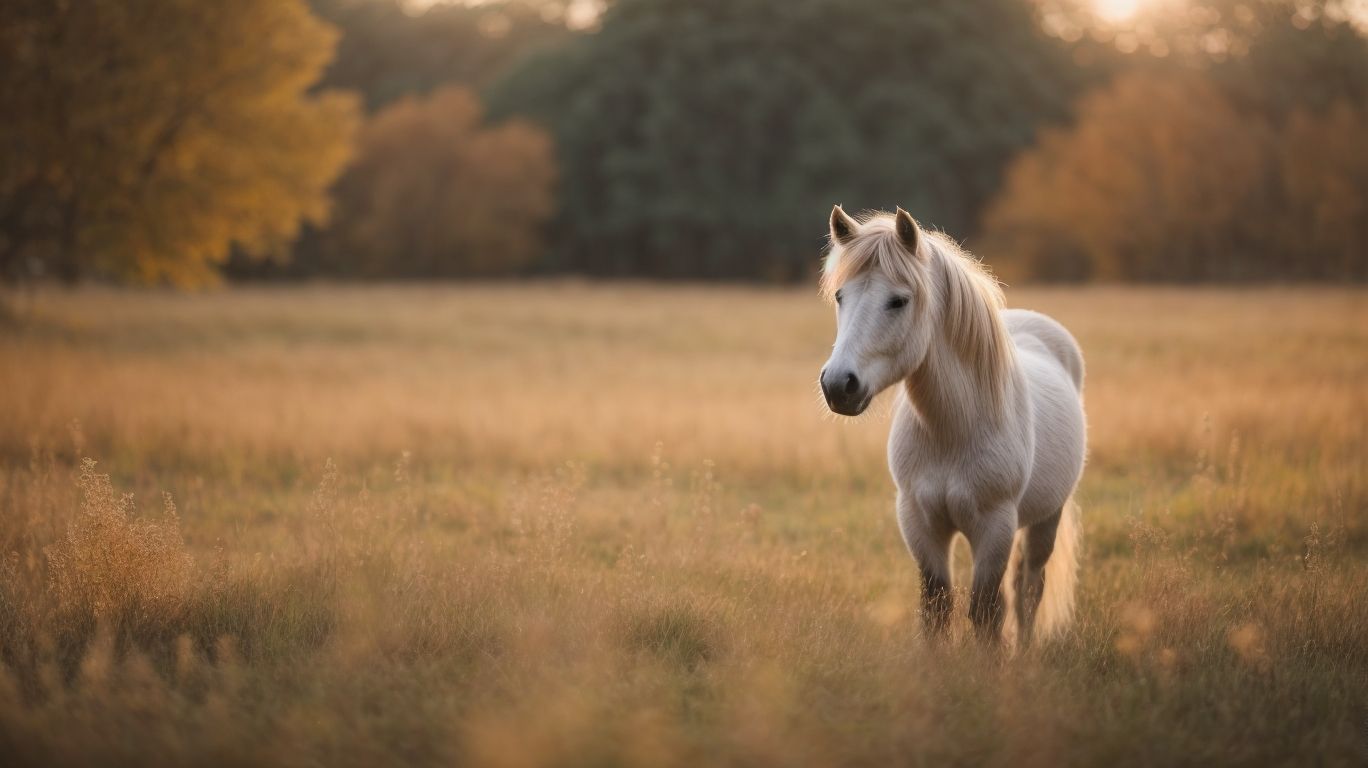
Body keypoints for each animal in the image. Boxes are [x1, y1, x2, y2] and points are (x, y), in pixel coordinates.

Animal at [818, 205, 1086, 646]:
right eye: (841, 296)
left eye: (898, 301)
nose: (839, 385)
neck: (953, 429)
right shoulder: (920, 523)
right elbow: (936, 611)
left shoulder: (994, 527)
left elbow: (986, 614)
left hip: (1047, 518)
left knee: (1029, 589)